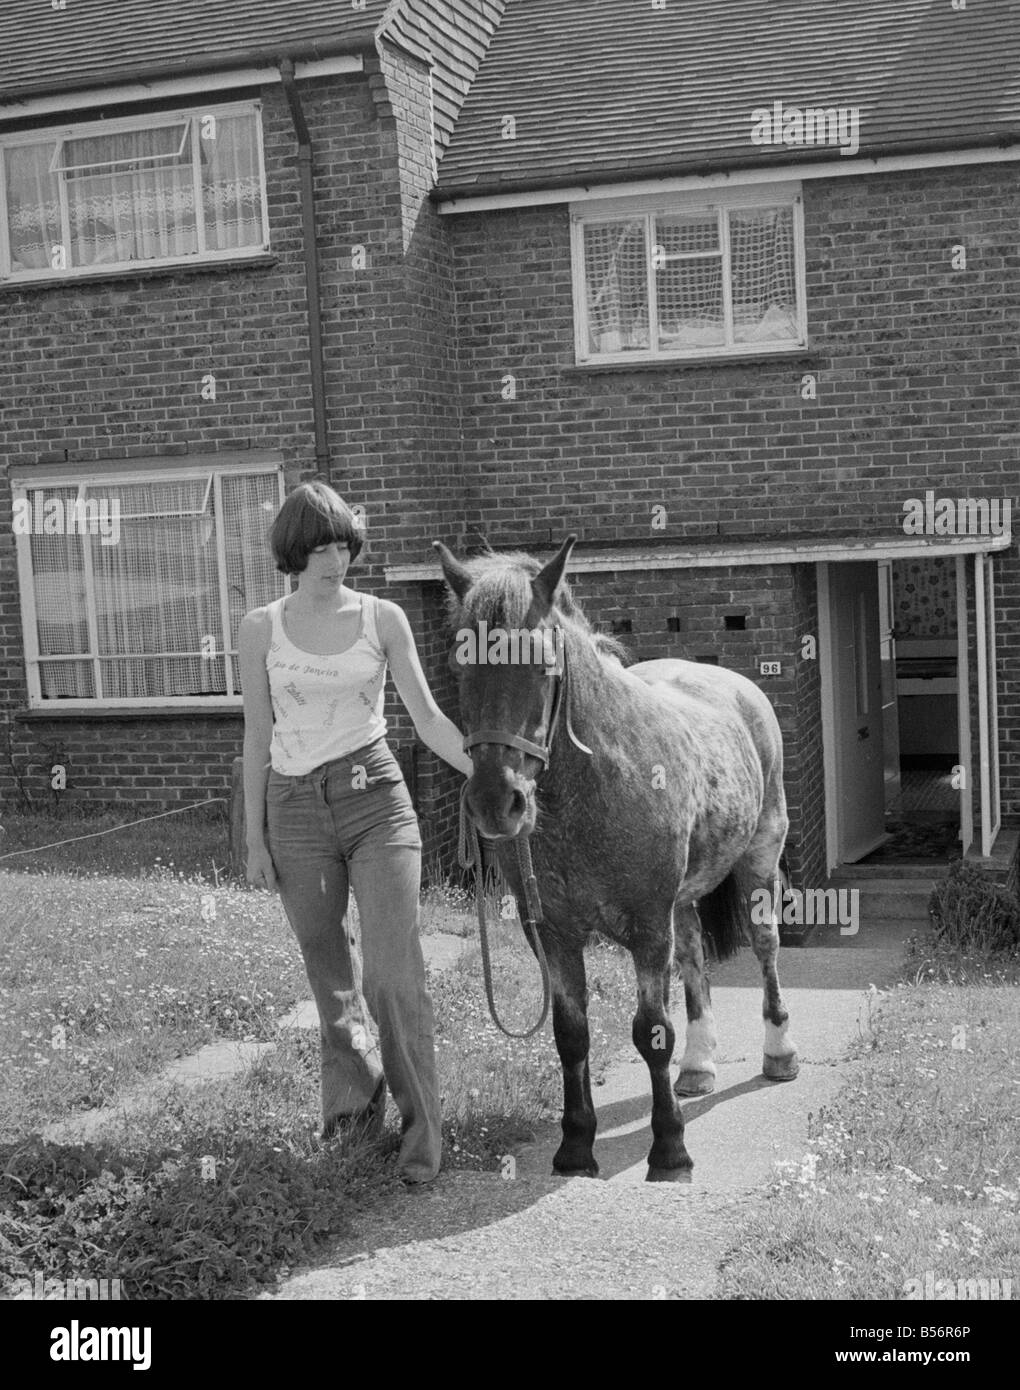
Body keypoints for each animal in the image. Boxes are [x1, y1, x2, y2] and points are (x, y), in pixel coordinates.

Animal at [436, 530, 800, 1184]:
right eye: (458, 666)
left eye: (543, 665)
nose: (496, 803)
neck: (594, 788)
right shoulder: (553, 934)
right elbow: (571, 1034)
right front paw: (576, 1147)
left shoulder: (647, 927)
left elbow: (651, 1031)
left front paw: (670, 1151)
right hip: (681, 901)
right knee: (694, 960)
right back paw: (698, 1068)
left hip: (760, 858)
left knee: (765, 948)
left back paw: (779, 1052)